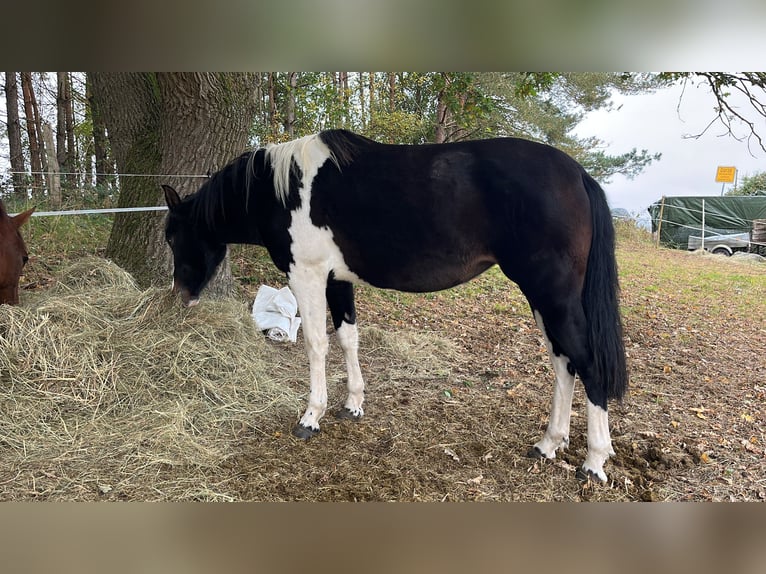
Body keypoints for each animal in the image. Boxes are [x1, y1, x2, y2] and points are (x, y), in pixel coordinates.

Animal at [163, 129, 628, 482]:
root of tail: (577, 173)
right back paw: (549, 443)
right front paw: (352, 404)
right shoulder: (337, 280)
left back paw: (593, 461)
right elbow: (347, 338)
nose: (179, 296)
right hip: (544, 300)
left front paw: (311, 416)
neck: (282, 189)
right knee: (563, 363)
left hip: (551, 293)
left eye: (172, 236)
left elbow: (316, 344)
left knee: (587, 364)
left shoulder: (307, 276)